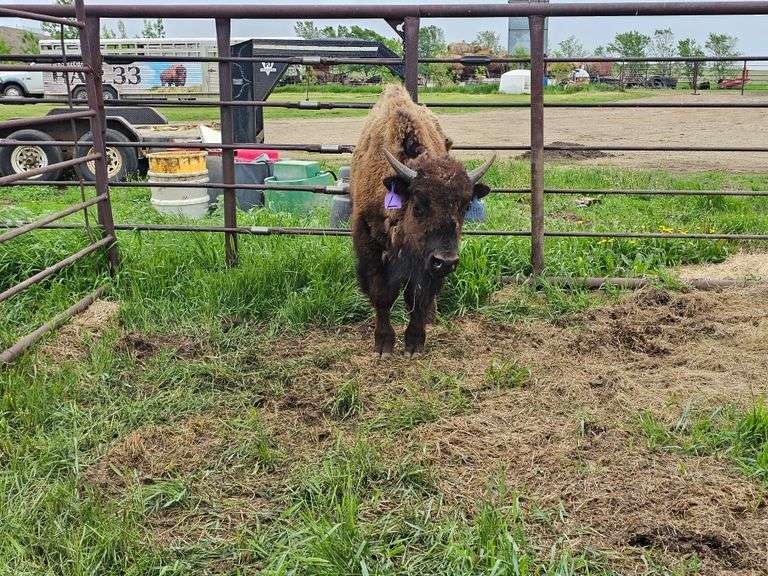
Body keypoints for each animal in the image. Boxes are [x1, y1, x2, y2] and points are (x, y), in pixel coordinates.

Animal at [350, 84, 495, 358]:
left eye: (465, 207)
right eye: (418, 207)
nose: (446, 261)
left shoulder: (426, 264)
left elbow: (418, 296)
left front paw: (415, 343)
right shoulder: (370, 248)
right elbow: (382, 296)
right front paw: (383, 345)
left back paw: (430, 316)